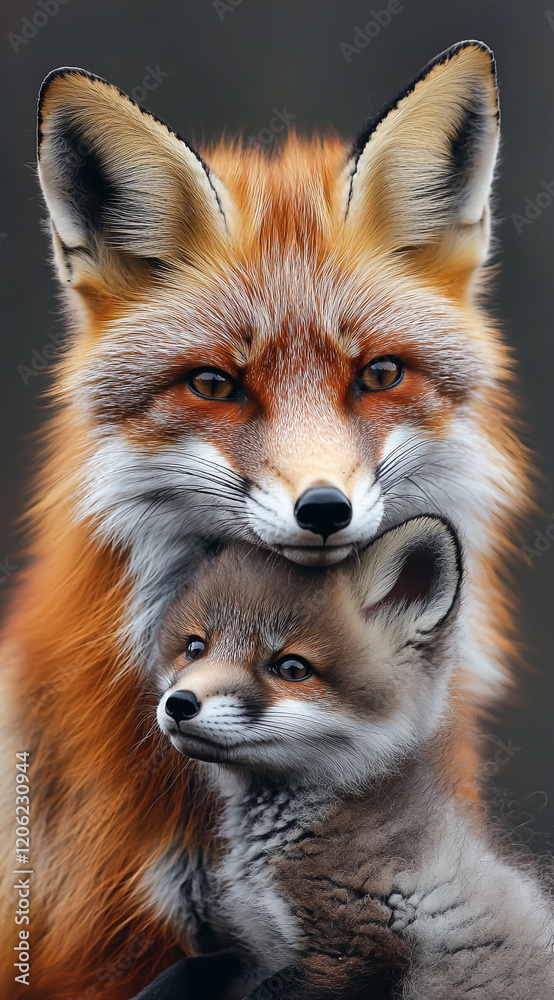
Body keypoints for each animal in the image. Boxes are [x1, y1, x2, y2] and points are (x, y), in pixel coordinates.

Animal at [131, 516, 554, 1000]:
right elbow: (192, 968)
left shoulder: (354, 949)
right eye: (195, 648)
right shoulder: (258, 950)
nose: (179, 704)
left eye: (292, 668)